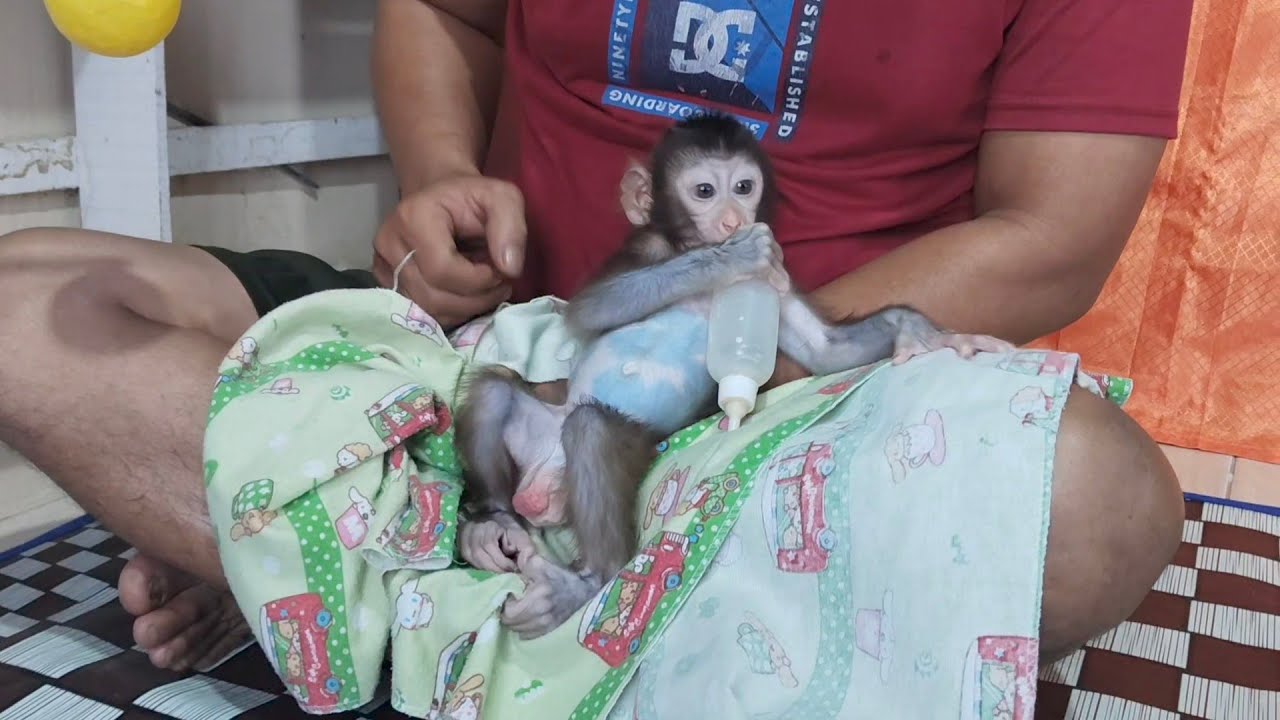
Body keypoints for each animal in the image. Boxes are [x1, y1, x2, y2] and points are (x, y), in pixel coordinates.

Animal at [454, 113, 1014, 639]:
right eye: (705, 190)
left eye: (744, 187)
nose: (733, 218)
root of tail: (539, 487)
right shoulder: (648, 250)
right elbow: (594, 307)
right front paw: (732, 255)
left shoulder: (777, 285)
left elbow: (826, 351)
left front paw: (923, 333)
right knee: (502, 394)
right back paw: (500, 527)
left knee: (586, 428)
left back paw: (571, 564)